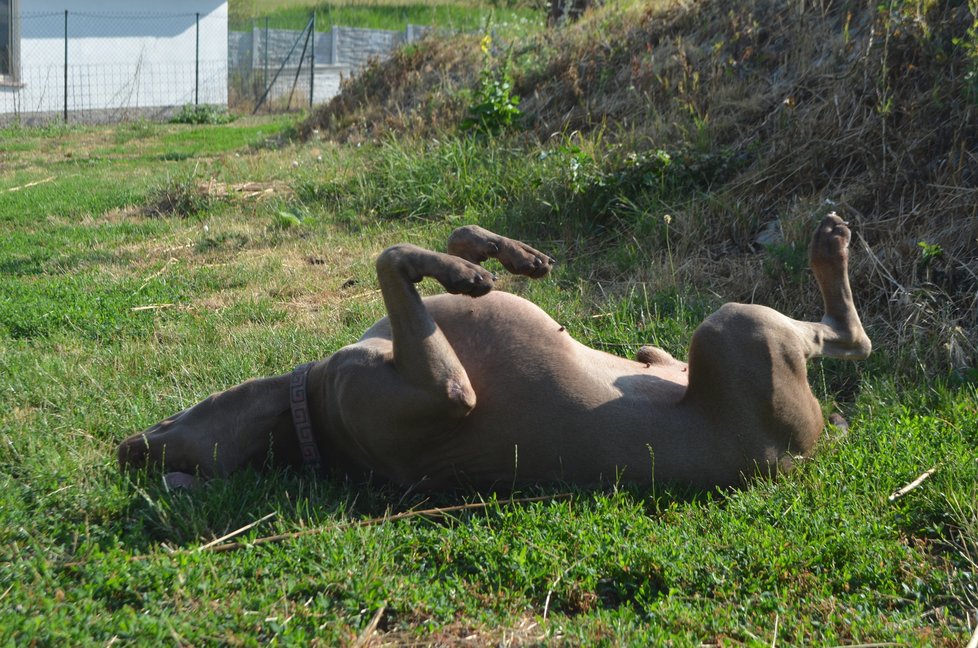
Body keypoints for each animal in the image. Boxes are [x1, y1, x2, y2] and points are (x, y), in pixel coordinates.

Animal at [116, 215, 868, 488]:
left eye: (169, 420)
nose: (129, 447)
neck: (309, 421)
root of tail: (810, 450)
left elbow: (440, 241)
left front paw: (501, 255)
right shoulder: (443, 393)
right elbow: (390, 256)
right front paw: (469, 272)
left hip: (697, 349)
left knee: (663, 358)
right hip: (734, 330)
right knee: (846, 337)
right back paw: (830, 248)